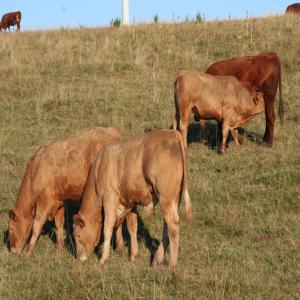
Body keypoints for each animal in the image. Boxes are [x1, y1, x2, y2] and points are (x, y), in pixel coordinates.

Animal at [7, 126, 122, 255]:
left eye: (11, 229)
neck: (36, 171)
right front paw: (59, 249)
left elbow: (37, 225)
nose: (13, 251)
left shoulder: (44, 202)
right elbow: (59, 223)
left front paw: (28, 252)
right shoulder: (58, 202)